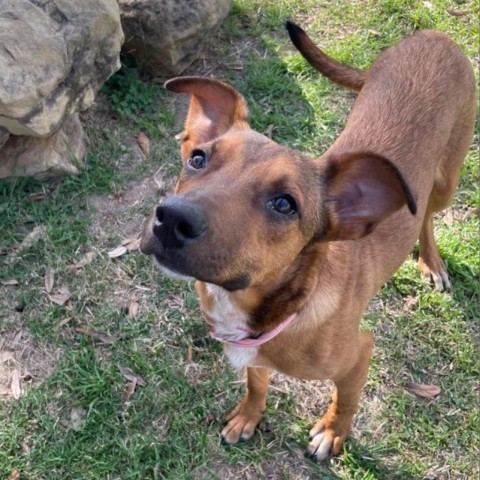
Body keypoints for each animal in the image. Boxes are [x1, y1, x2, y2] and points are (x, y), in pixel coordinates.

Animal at [139, 23, 476, 462]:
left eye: (285, 204)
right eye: (197, 158)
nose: (171, 219)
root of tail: (434, 35)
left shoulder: (359, 355)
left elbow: (346, 401)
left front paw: (333, 433)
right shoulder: (256, 355)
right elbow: (256, 382)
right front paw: (249, 417)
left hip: (446, 181)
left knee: (428, 217)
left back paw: (431, 261)